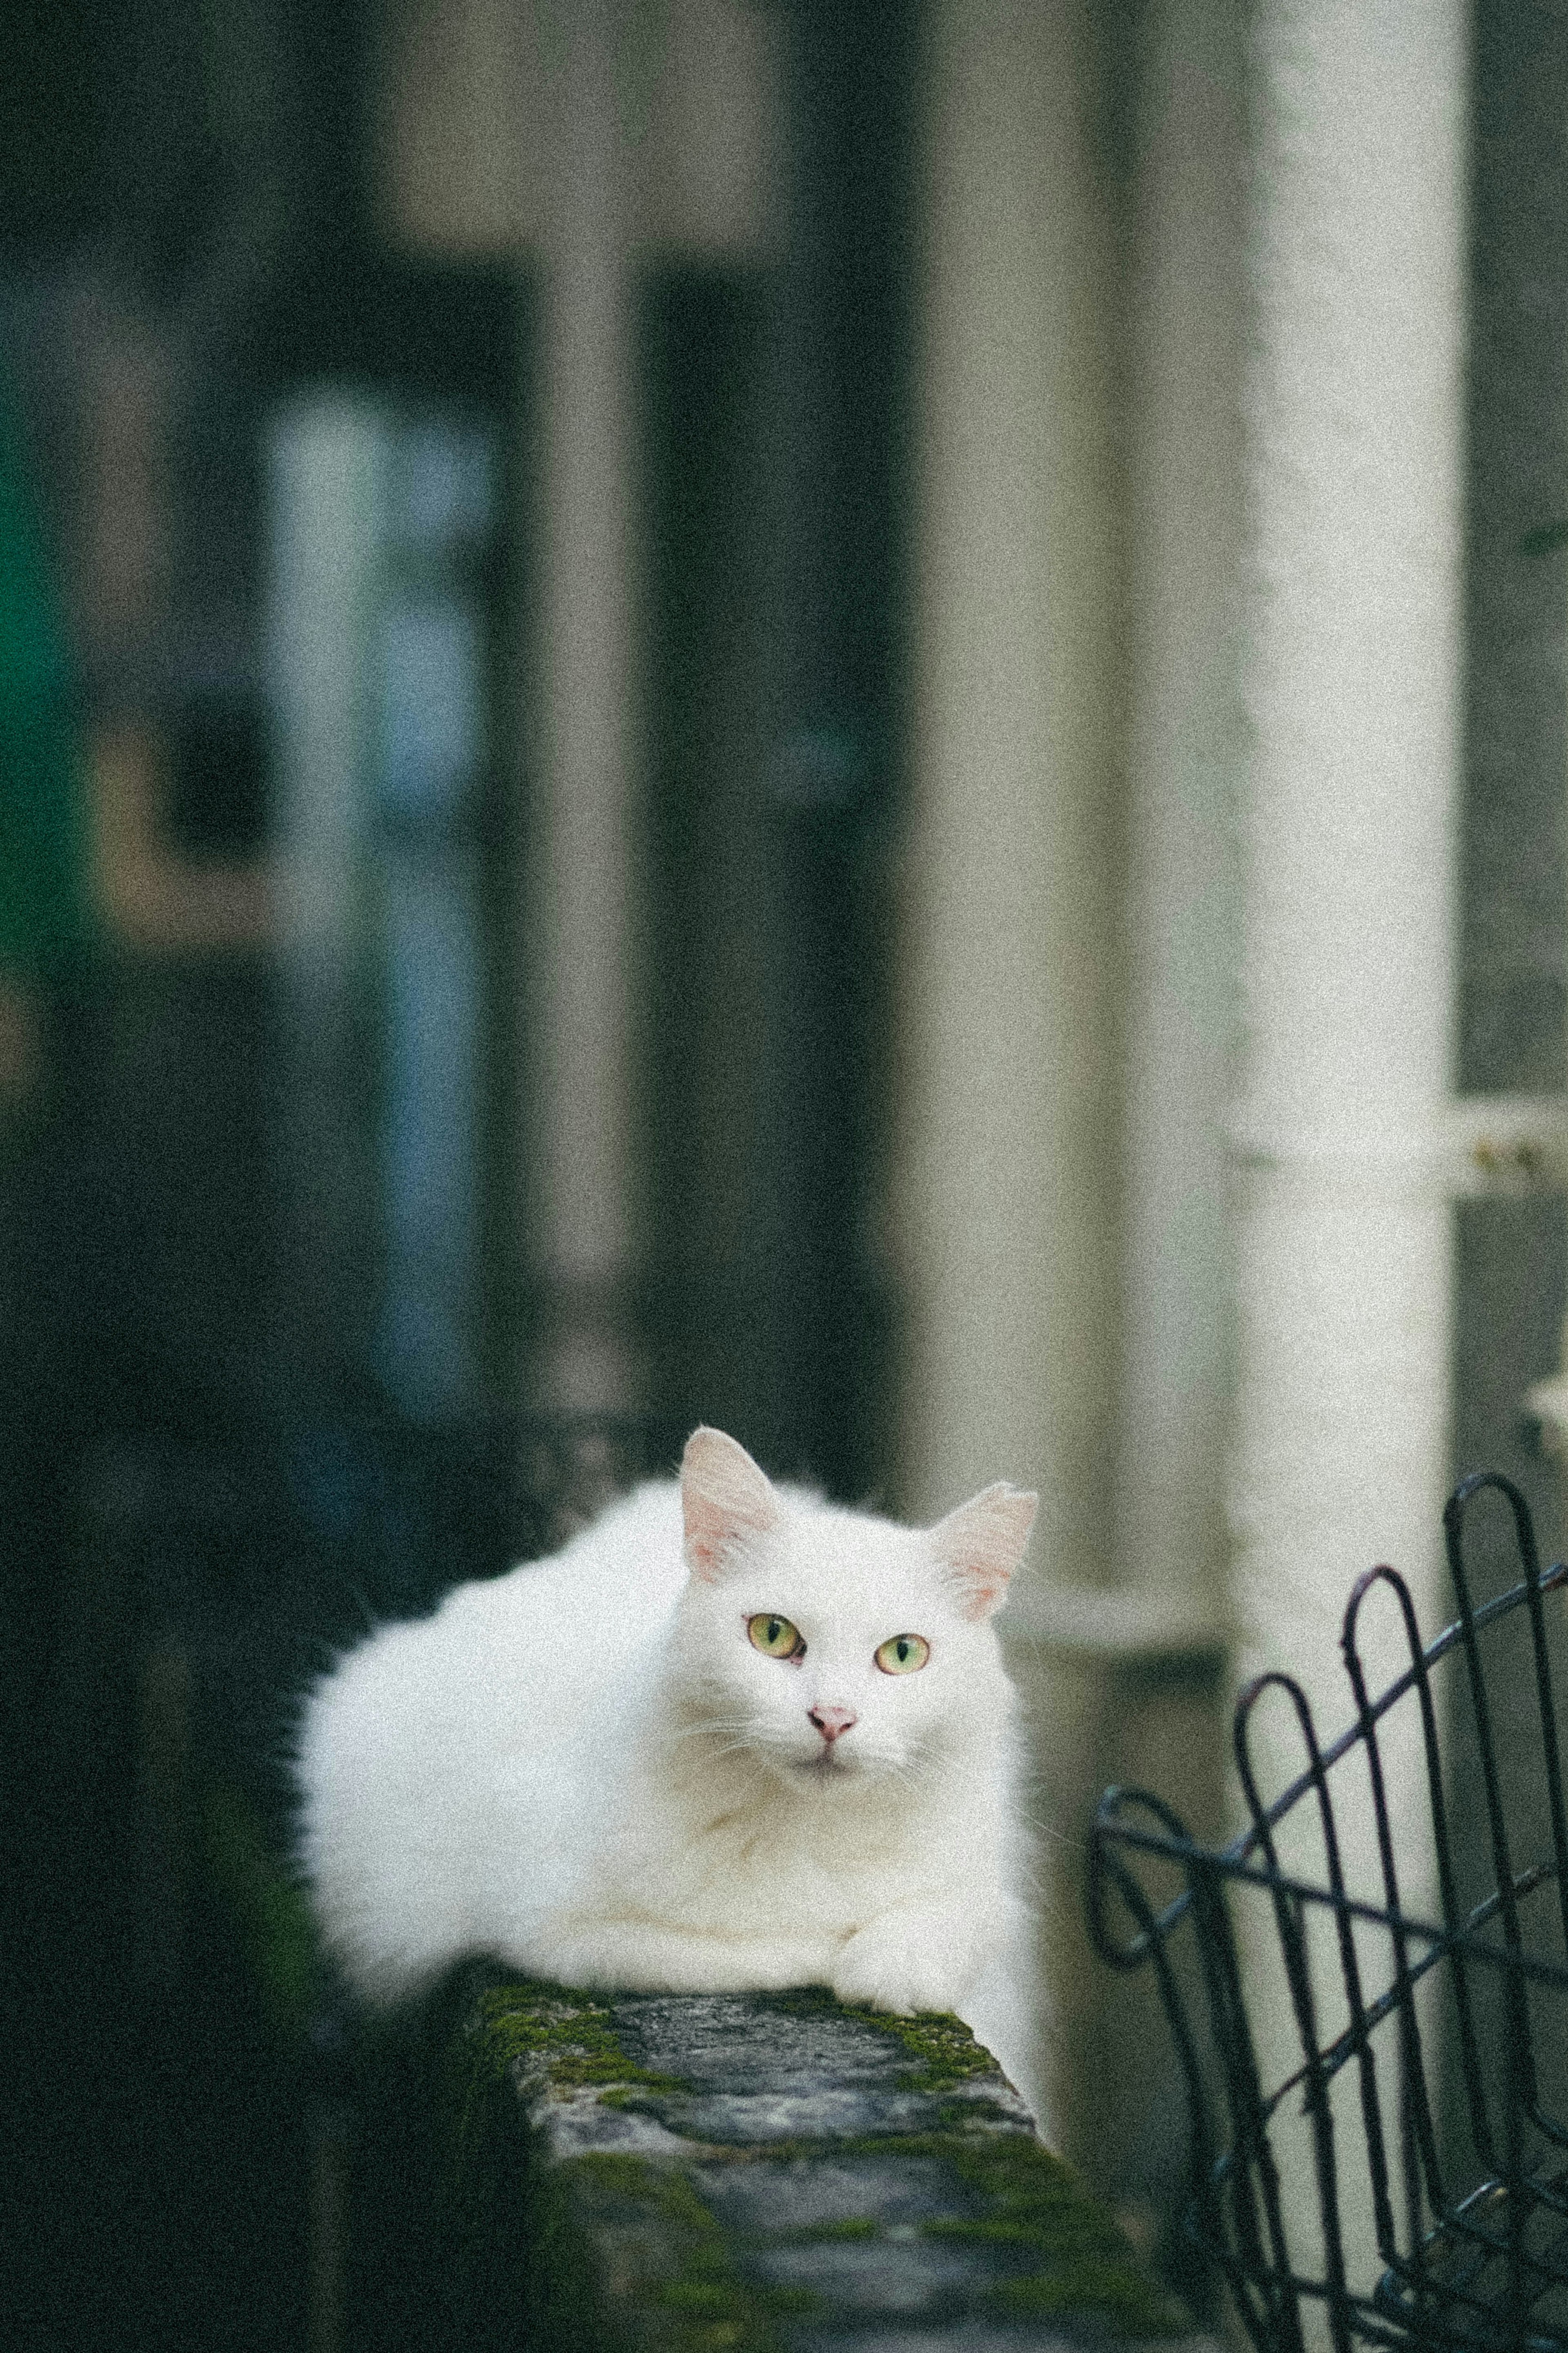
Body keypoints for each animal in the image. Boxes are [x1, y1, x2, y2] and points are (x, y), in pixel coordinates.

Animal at [301, 1421, 1048, 2127]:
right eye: (772, 1634)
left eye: (903, 1653)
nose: (832, 1718)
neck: (807, 1825)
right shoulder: (564, 1933)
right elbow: (770, 1950)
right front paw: (843, 1953)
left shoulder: (985, 1874)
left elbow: (961, 1917)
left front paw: (897, 1965)